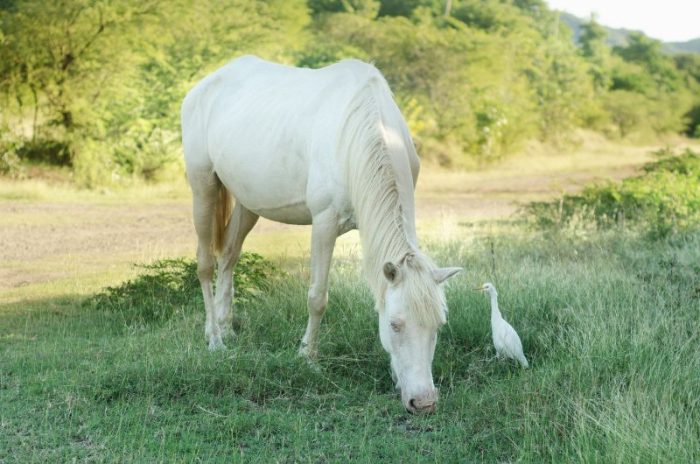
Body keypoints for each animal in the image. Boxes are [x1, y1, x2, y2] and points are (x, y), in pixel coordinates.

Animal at [181, 55, 461, 414]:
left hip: (247, 202)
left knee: (228, 257)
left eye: (438, 325)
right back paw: (215, 341)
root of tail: (204, 85)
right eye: (395, 324)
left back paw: (223, 328)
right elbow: (317, 297)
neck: (362, 127)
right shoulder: (325, 223)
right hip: (203, 188)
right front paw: (307, 357)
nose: (423, 402)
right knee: (205, 264)